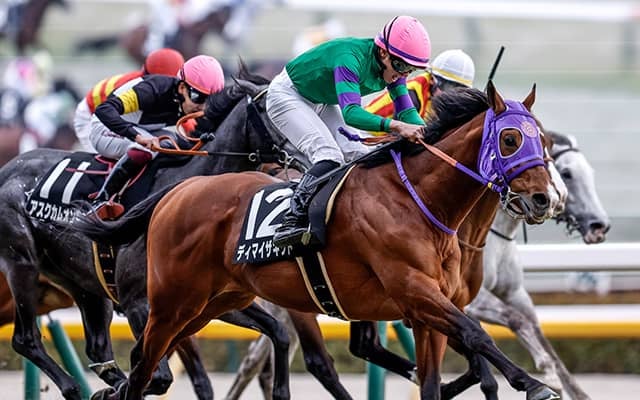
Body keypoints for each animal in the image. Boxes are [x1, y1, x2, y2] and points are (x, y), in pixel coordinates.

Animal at [0, 66, 288, 399]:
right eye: (269, 107)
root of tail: (8, 168)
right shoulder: (139, 304)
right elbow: (154, 374)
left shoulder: (212, 301)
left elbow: (278, 331)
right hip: (22, 263)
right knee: (26, 339)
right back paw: (74, 386)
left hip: (82, 284)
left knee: (98, 349)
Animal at [78, 82, 563, 400]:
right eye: (510, 138)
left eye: (544, 138)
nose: (544, 199)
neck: (420, 200)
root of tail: (177, 191)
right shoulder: (415, 291)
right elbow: (476, 335)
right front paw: (534, 384)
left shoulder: (430, 310)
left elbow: (440, 373)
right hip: (170, 302)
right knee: (144, 366)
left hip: (211, 304)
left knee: (144, 362)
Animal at [465, 131, 610, 400]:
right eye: (567, 173)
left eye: (590, 172)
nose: (599, 226)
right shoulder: (472, 298)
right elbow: (515, 320)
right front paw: (547, 375)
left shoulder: (516, 294)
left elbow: (539, 334)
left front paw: (574, 391)